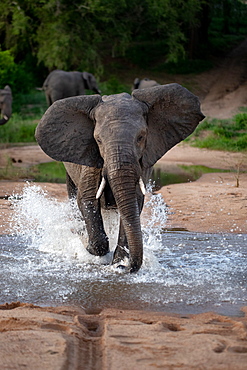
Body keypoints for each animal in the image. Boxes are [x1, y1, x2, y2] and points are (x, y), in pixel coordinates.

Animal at [35, 84, 205, 274]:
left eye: (141, 137)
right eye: (98, 140)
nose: (125, 267)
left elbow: (134, 203)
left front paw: (118, 263)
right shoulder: (90, 158)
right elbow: (87, 199)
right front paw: (90, 249)